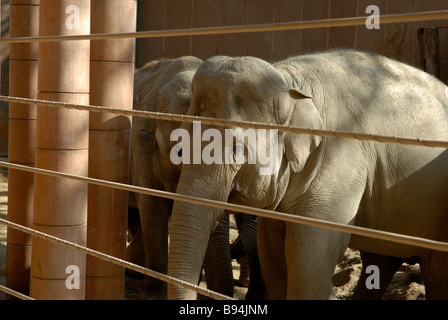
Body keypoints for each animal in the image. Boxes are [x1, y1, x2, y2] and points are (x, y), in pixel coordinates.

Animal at [166, 50, 448, 300]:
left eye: (236, 148)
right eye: (180, 147)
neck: (290, 80)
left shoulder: (341, 161)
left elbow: (308, 256)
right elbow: (273, 253)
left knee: (435, 270)